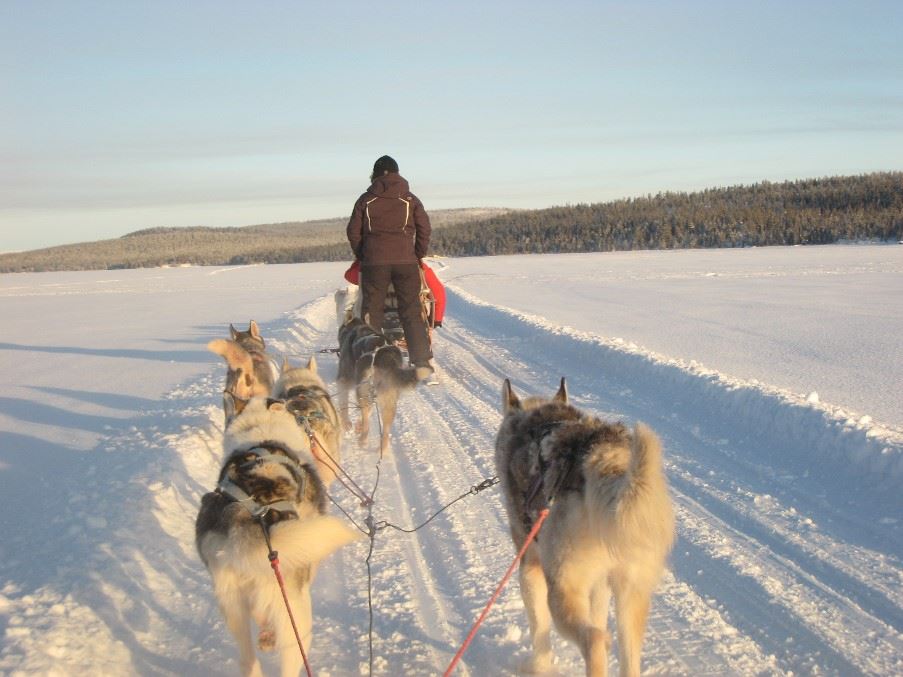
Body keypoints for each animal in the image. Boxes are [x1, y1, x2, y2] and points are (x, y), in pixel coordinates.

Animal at [334, 288, 418, 452]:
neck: (357, 324)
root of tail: (382, 356)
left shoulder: (344, 379)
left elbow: (343, 404)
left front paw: (347, 423)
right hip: (388, 399)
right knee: (384, 431)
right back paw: (382, 449)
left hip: (364, 390)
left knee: (366, 418)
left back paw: (363, 440)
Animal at [494, 378, 680, 672]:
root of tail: (605, 459)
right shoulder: (600, 584)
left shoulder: (529, 568)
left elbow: (539, 630)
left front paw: (538, 668)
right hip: (631, 595)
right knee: (624, 653)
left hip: (561, 588)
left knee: (593, 641)